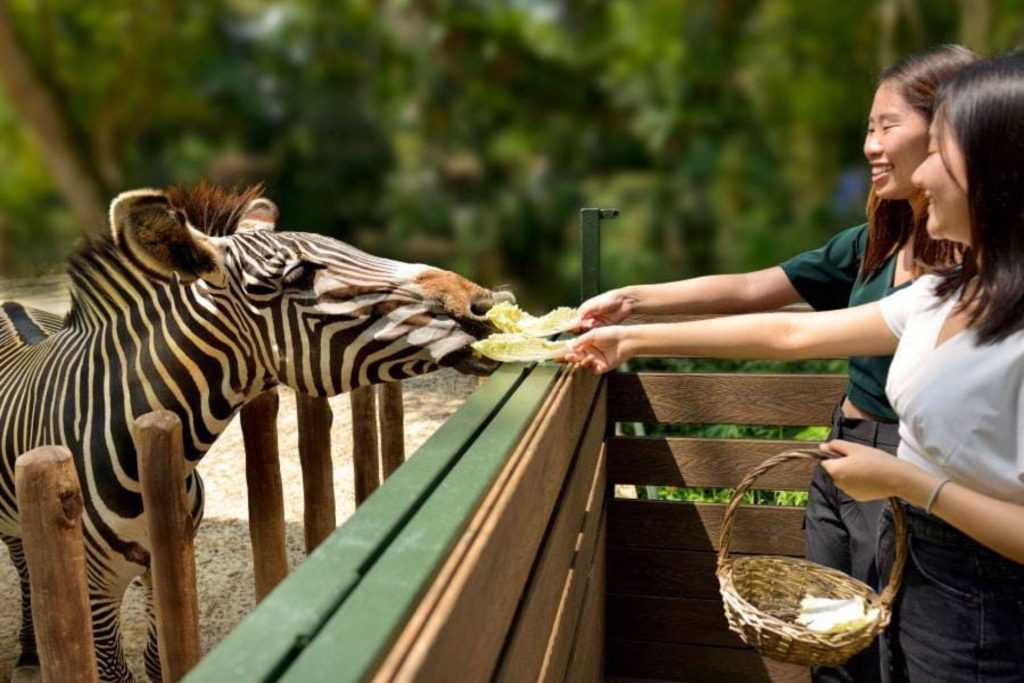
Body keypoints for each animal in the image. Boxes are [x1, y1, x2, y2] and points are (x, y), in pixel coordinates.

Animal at [0, 183, 512, 683]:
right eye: (299, 276)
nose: (485, 305)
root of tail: (10, 301)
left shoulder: (168, 557)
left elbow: (159, 661)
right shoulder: (93, 589)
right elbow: (114, 672)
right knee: (23, 560)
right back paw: (29, 651)